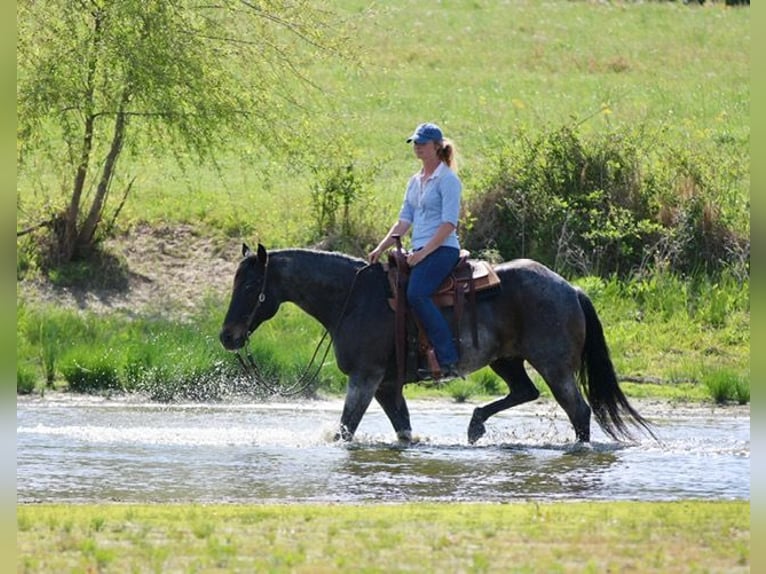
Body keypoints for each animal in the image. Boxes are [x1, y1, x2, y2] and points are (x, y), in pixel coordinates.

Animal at [219, 243, 655, 444]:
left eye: (250, 286)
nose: (227, 336)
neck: (353, 299)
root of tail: (570, 289)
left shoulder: (365, 377)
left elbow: (346, 428)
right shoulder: (387, 386)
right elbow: (403, 430)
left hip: (556, 366)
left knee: (578, 411)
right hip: (507, 360)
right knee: (524, 391)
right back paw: (476, 425)